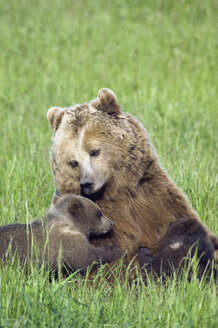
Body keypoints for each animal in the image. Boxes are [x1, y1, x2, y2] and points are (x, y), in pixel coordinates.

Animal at [46, 88, 217, 260]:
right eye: (73, 162)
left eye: (94, 151)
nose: (87, 183)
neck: (118, 189)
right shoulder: (103, 215)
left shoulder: (154, 197)